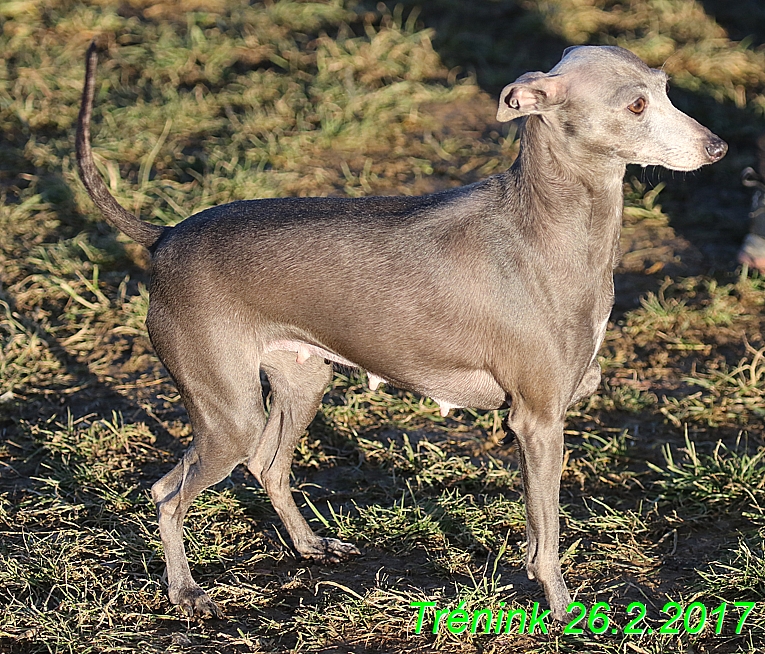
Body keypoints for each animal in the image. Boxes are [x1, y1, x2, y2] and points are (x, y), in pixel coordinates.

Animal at [74, 43, 724, 624]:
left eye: (665, 88)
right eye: (637, 104)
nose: (717, 147)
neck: (547, 223)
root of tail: (164, 237)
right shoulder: (537, 422)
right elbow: (546, 534)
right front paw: (562, 610)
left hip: (301, 383)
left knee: (268, 465)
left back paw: (311, 546)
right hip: (228, 414)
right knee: (167, 492)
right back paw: (186, 593)